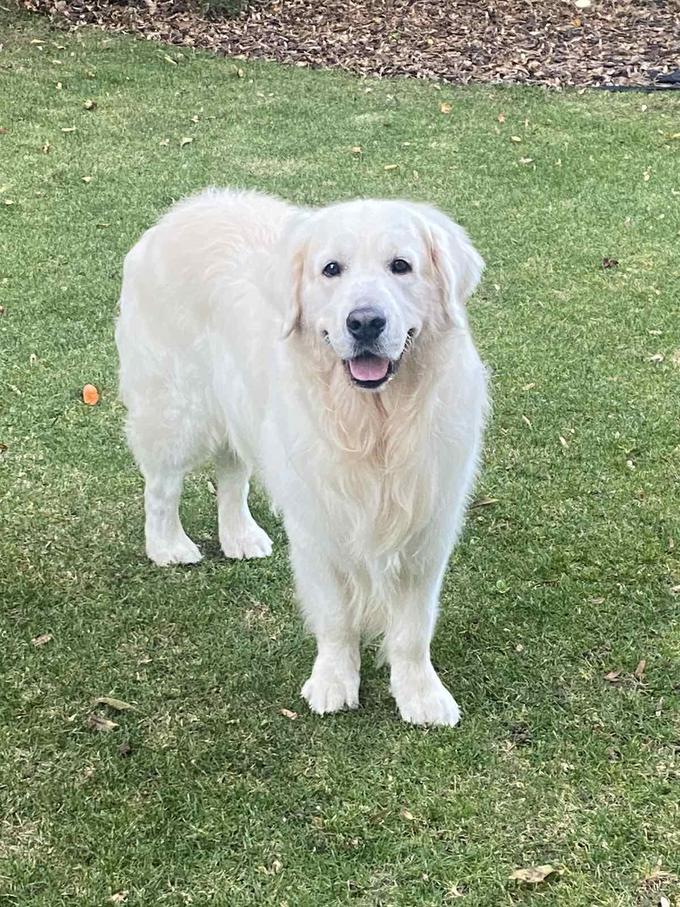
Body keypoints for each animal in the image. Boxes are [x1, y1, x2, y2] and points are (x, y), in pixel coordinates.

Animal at [117, 188, 488, 728]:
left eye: (401, 265)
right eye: (331, 269)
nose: (365, 321)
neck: (374, 425)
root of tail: (183, 209)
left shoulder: (426, 527)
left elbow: (413, 628)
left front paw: (421, 695)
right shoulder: (318, 523)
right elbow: (335, 618)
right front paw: (333, 682)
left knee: (232, 474)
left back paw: (240, 536)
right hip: (177, 409)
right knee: (162, 485)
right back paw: (168, 546)